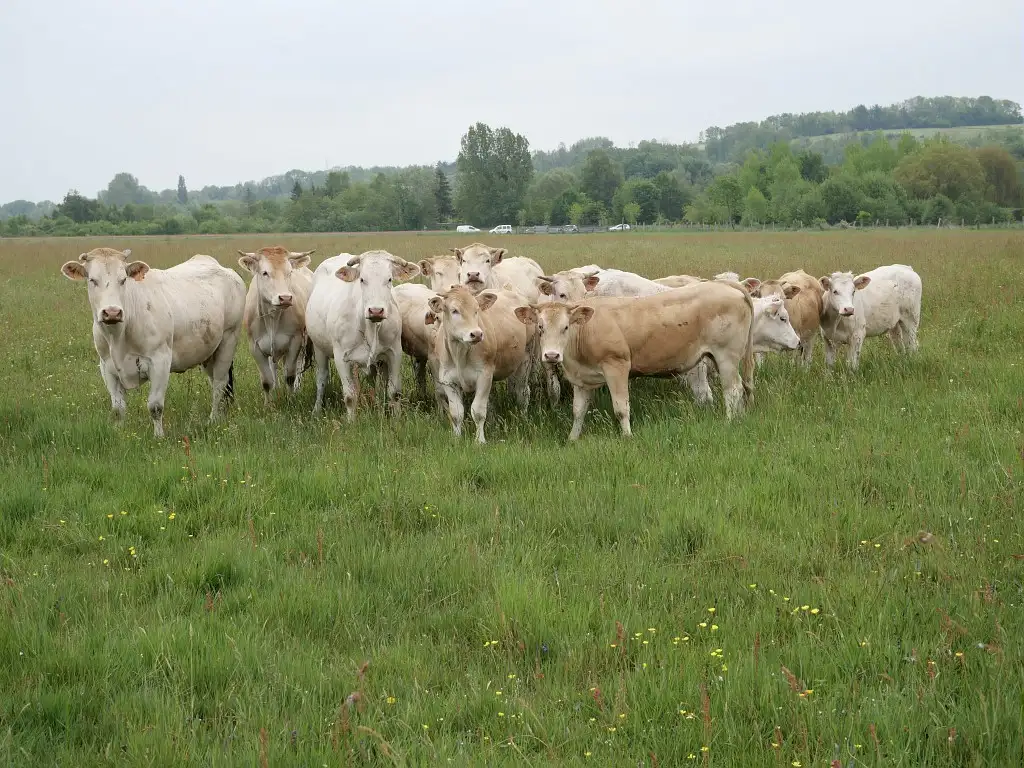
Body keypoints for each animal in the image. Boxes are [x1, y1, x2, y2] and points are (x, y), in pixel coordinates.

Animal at [60, 247, 246, 438]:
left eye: (123, 279)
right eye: (92, 280)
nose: (112, 312)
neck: (118, 337)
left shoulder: (160, 361)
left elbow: (155, 406)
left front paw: (158, 436)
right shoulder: (107, 367)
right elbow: (118, 408)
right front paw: (120, 432)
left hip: (228, 340)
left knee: (219, 384)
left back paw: (213, 418)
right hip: (209, 352)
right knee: (215, 381)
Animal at [237, 246, 316, 403]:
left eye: (289, 272)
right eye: (265, 273)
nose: (285, 298)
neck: (273, 317)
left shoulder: (295, 342)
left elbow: (290, 376)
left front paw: (291, 400)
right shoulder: (255, 347)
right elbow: (266, 381)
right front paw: (269, 404)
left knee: (299, 366)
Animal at [305, 250, 420, 420]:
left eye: (389, 279)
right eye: (362, 279)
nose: (376, 310)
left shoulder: (394, 353)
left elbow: (394, 392)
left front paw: (396, 419)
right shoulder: (341, 358)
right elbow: (350, 396)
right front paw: (351, 421)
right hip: (319, 349)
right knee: (321, 379)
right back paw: (317, 410)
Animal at [427, 286, 535, 444]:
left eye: (476, 309)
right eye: (454, 310)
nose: (477, 334)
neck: (460, 353)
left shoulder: (484, 376)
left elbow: (477, 410)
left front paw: (480, 441)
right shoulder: (448, 380)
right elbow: (456, 413)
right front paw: (456, 438)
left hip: (525, 359)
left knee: (522, 392)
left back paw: (523, 418)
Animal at [514, 281, 755, 441]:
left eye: (565, 327)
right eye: (540, 327)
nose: (551, 356)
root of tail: (725, 285)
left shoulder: (617, 366)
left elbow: (621, 407)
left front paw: (627, 437)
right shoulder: (582, 379)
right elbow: (578, 411)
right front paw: (572, 439)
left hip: (726, 356)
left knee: (732, 390)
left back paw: (729, 422)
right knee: (740, 389)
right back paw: (741, 418)